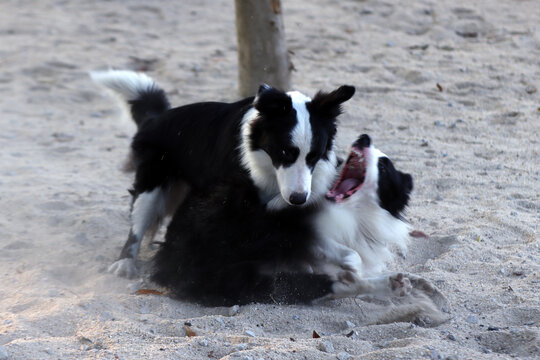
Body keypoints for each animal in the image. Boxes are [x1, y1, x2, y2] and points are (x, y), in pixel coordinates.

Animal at [91, 70, 356, 278]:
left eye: (314, 156)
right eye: (283, 152)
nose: (299, 199)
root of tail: (155, 119)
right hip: (151, 184)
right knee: (137, 224)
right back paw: (125, 262)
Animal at [152, 134, 414, 306]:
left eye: (384, 166)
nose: (364, 138)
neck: (353, 210)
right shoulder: (290, 227)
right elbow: (348, 254)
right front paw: (350, 268)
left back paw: (392, 285)